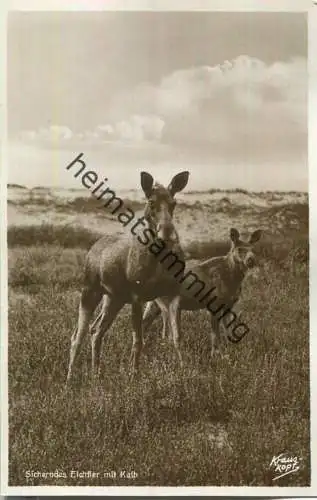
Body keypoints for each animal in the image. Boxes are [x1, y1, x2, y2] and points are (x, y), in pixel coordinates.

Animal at [64, 170, 188, 384]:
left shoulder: (172, 294)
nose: (168, 233)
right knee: (77, 336)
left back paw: (96, 374)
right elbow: (138, 341)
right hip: (90, 290)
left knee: (96, 331)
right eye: (151, 202)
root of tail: (93, 248)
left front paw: (184, 373)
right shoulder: (137, 297)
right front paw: (133, 376)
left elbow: (177, 337)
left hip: (114, 298)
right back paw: (70, 380)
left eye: (174, 203)